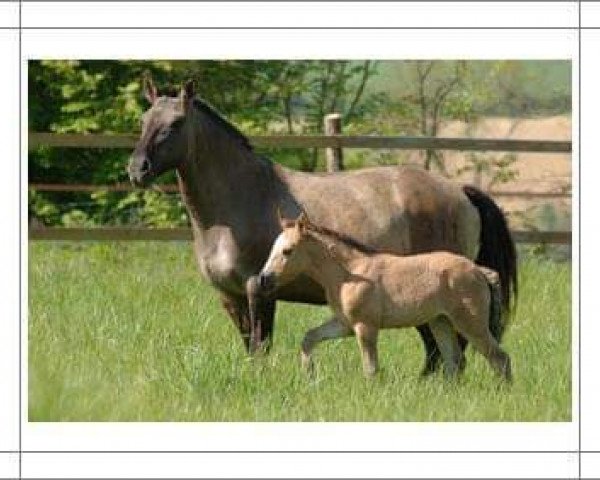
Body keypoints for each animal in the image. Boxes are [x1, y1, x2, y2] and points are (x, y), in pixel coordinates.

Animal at [258, 214, 510, 382]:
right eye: (272, 248)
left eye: (288, 251)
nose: (264, 279)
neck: (350, 273)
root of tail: (478, 270)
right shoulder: (345, 324)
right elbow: (309, 338)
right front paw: (309, 375)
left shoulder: (365, 326)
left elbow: (371, 368)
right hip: (441, 321)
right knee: (454, 362)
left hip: (470, 323)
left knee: (499, 358)